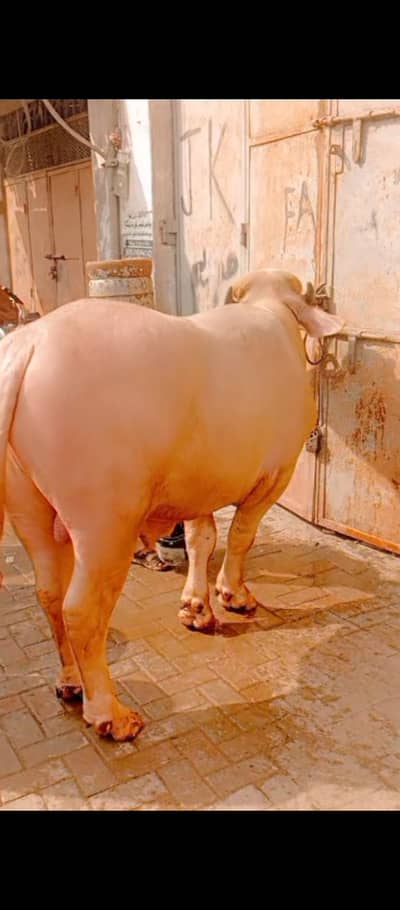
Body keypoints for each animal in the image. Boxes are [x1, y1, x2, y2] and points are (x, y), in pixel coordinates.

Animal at [0, 269, 342, 741]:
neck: (271, 313)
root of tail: (28, 343)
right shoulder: (277, 473)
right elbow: (242, 536)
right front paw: (233, 595)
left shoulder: (200, 485)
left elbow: (202, 539)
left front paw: (196, 607)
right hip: (105, 522)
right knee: (81, 609)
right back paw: (111, 713)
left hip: (29, 512)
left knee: (49, 595)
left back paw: (70, 683)